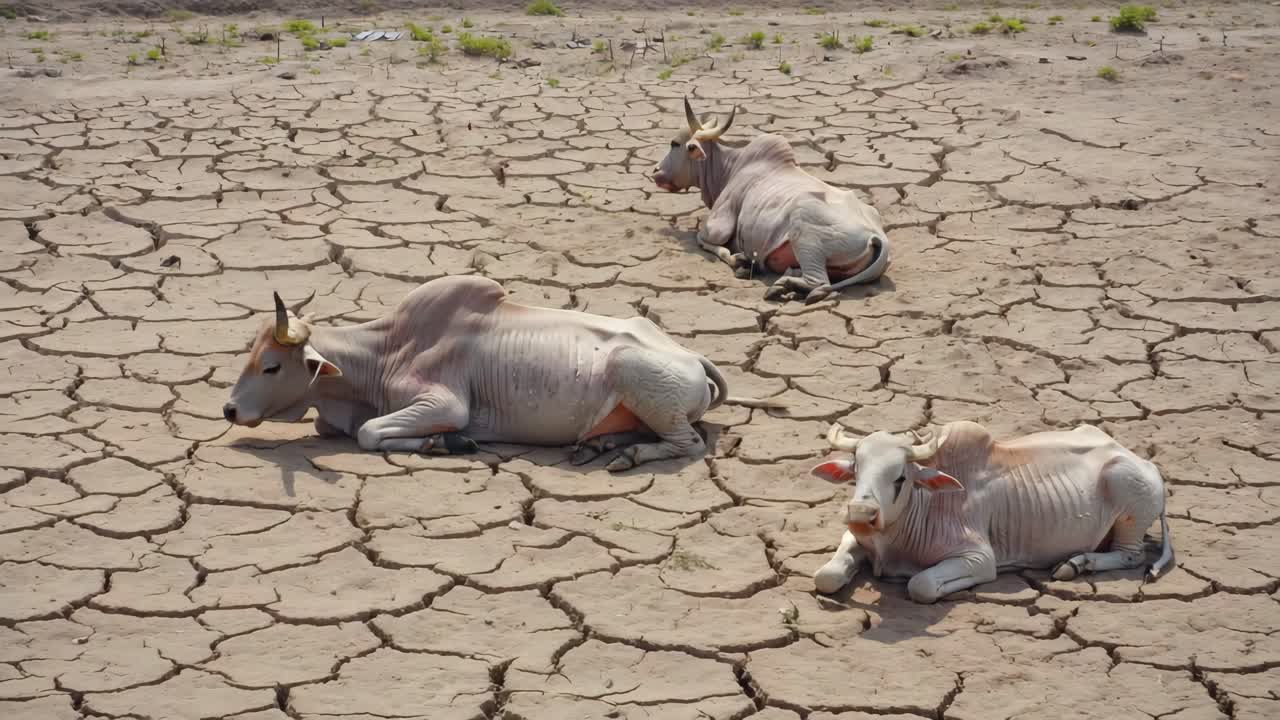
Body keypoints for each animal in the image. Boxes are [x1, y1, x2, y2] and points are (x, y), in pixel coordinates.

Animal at [222, 275, 779, 472]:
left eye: (272, 365)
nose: (228, 409)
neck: (385, 351)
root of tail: (691, 357)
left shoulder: (444, 403)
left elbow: (369, 433)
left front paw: (444, 443)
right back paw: (600, 445)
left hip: (634, 375)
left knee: (690, 443)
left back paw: (628, 455)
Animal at [650, 97, 891, 304]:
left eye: (675, 144)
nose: (655, 171)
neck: (729, 168)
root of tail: (877, 237)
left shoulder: (717, 227)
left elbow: (705, 240)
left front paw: (740, 260)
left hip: (805, 235)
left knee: (819, 284)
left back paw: (782, 285)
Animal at [809, 421, 1174, 603]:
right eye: (856, 469)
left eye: (900, 477)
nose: (861, 513)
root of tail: (1146, 464)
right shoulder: (855, 539)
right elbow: (825, 577)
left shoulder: (979, 558)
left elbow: (920, 585)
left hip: (1127, 501)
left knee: (1131, 555)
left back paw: (1076, 564)